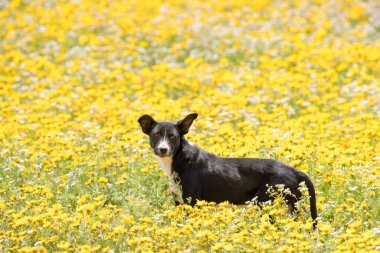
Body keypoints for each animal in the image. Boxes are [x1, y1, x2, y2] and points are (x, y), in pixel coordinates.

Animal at [137, 113, 318, 228]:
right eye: (156, 134)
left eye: (173, 136)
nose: (163, 149)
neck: (179, 159)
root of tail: (293, 170)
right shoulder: (179, 203)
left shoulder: (192, 202)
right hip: (293, 204)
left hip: (264, 203)